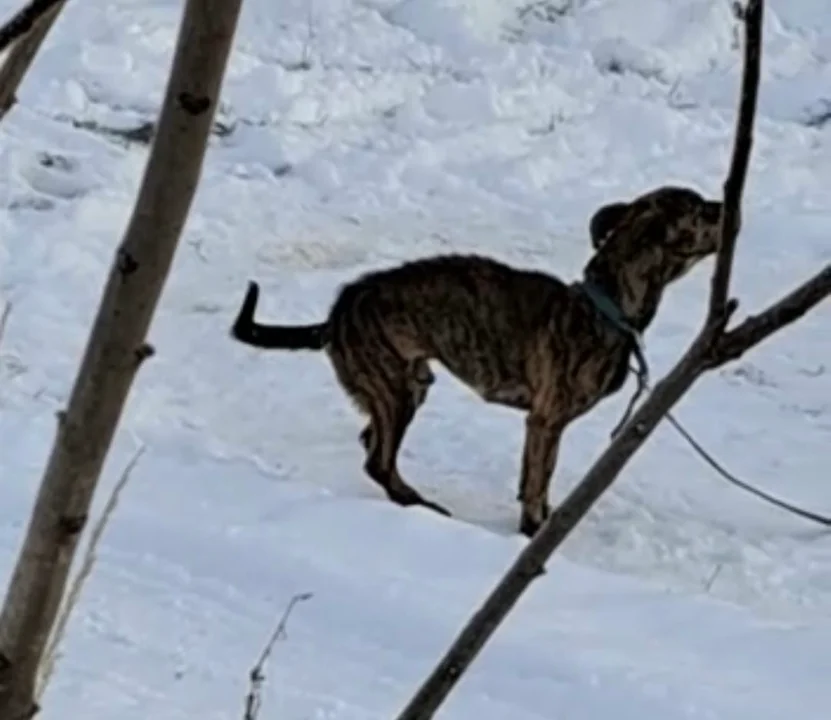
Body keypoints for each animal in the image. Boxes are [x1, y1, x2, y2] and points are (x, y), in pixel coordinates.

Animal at [232, 186, 720, 536]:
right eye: (699, 208)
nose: (726, 204)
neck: (607, 304)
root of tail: (336, 315)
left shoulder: (543, 423)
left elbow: (535, 480)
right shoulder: (546, 420)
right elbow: (537, 481)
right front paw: (533, 533)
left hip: (408, 382)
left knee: (371, 443)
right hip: (394, 388)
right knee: (378, 461)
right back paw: (420, 505)